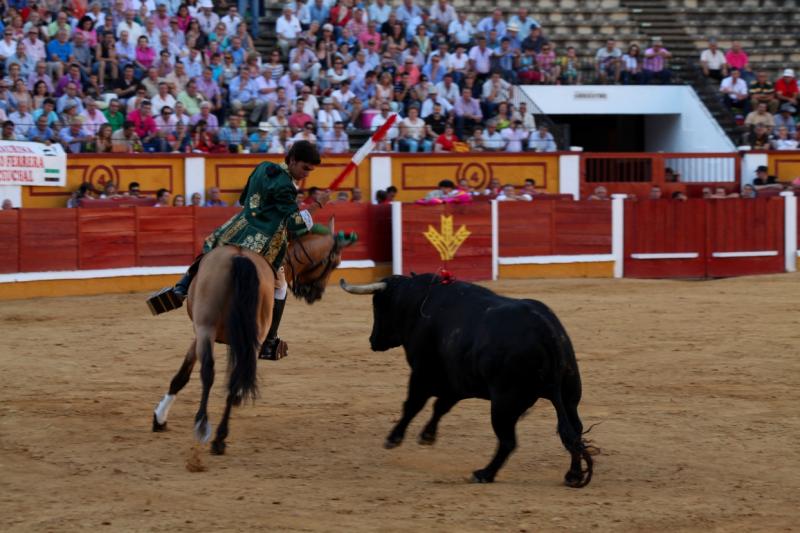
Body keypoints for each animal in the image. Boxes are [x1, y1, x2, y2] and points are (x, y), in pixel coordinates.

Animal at [151, 220, 350, 454]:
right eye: (334, 263)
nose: (316, 294)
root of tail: (240, 259)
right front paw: (160, 418)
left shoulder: (205, 332)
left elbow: (184, 374)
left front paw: (160, 418)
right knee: (229, 375)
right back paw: (218, 435)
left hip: (207, 328)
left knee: (211, 371)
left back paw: (207, 428)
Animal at [338, 274, 592, 486]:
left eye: (377, 305)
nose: (373, 340)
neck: (418, 304)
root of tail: (547, 333)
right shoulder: (456, 382)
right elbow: (440, 406)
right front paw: (427, 436)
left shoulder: (421, 373)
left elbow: (412, 405)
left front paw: (393, 438)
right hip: (570, 396)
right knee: (575, 431)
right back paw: (573, 475)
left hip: (504, 404)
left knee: (508, 441)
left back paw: (484, 474)